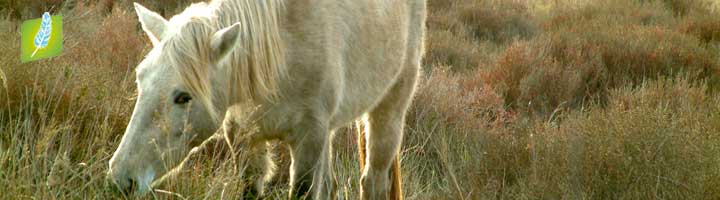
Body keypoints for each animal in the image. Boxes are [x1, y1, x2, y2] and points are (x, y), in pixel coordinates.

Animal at [104, 0, 424, 198]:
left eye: (183, 97)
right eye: (140, 78)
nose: (121, 179)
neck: (284, 45)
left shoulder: (309, 140)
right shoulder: (245, 139)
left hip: (390, 109)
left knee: (373, 182)